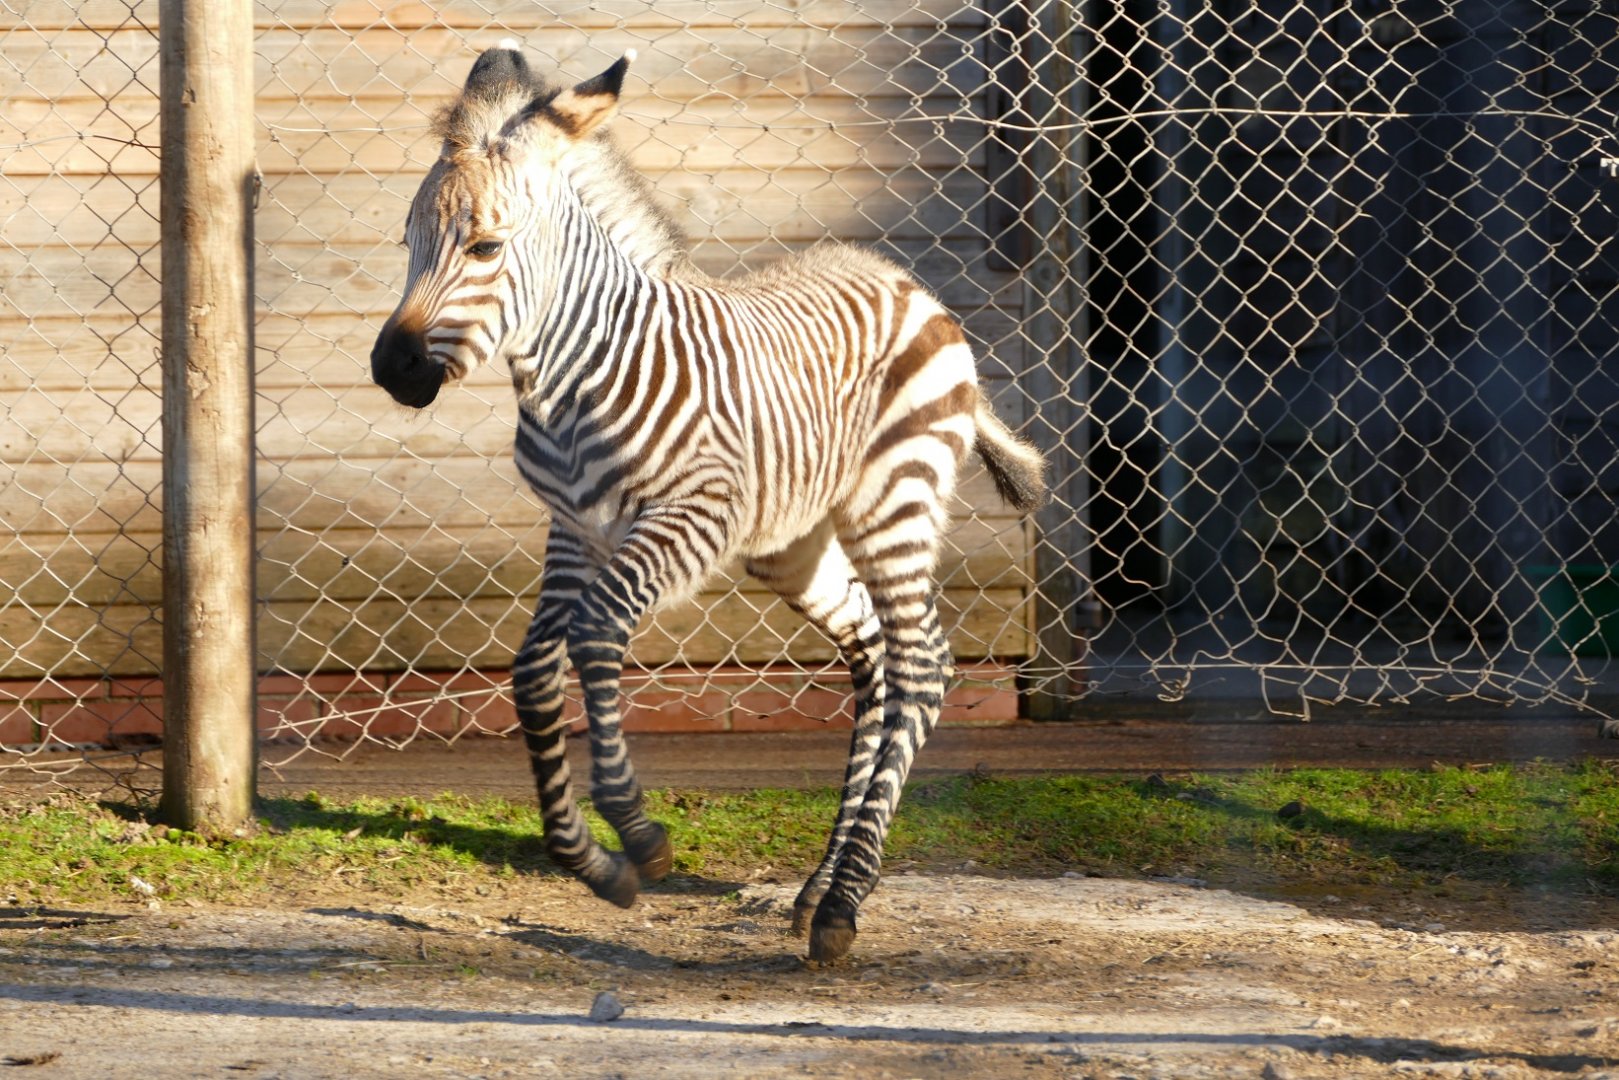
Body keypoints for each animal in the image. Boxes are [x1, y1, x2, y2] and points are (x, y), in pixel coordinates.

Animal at [369, 43, 1047, 963]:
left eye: (483, 248)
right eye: (407, 242)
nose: (391, 369)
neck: (575, 377)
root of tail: (910, 287)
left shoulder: (692, 518)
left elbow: (595, 633)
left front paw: (637, 834)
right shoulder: (572, 529)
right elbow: (533, 672)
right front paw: (590, 862)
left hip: (891, 500)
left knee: (920, 662)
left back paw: (844, 904)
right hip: (792, 541)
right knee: (872, 648)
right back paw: (818, 889)